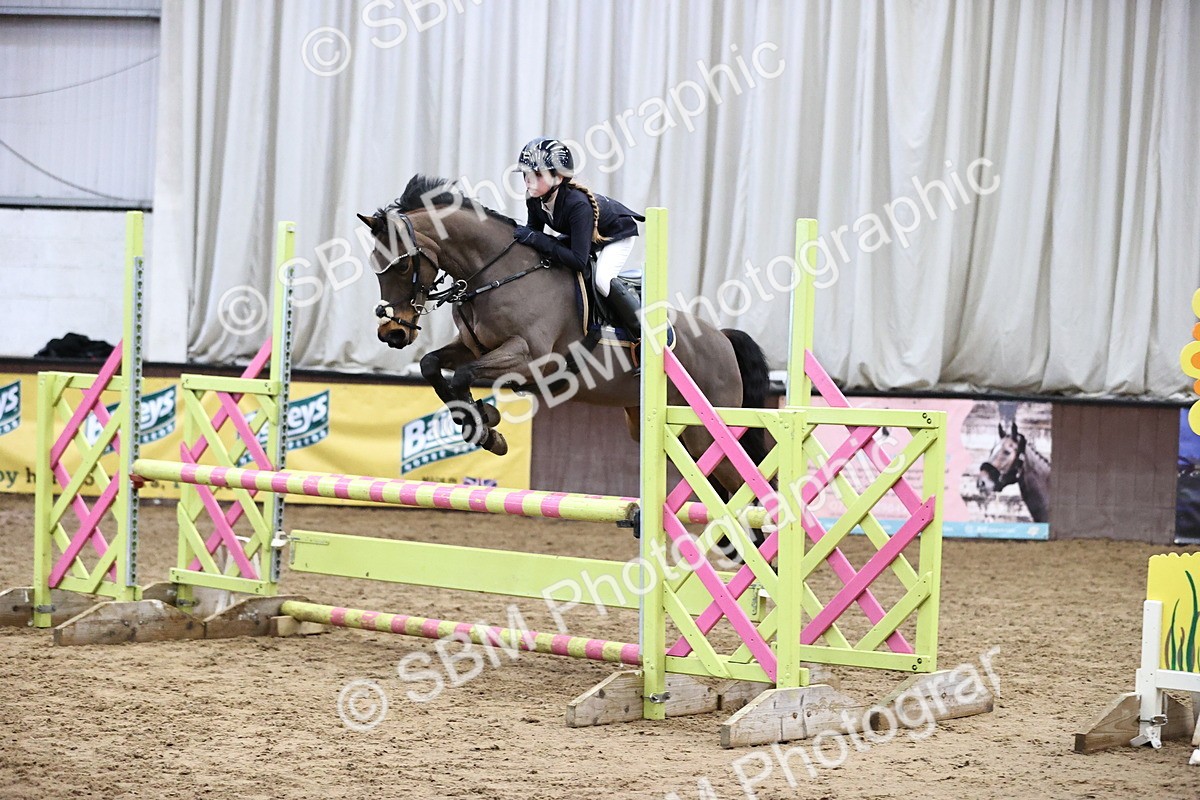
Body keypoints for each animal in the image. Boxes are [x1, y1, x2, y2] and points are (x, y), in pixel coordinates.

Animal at [357, 174, 771, 513]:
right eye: (376, 265)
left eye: (403, 265)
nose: (393, 333)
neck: (497, 273)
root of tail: (722, 339)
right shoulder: (473, 347)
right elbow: (433, 365)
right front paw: (479, 420)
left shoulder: (532, 359)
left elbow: (462, 375)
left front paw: (487, 429)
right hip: (662, 432)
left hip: (705, 434)